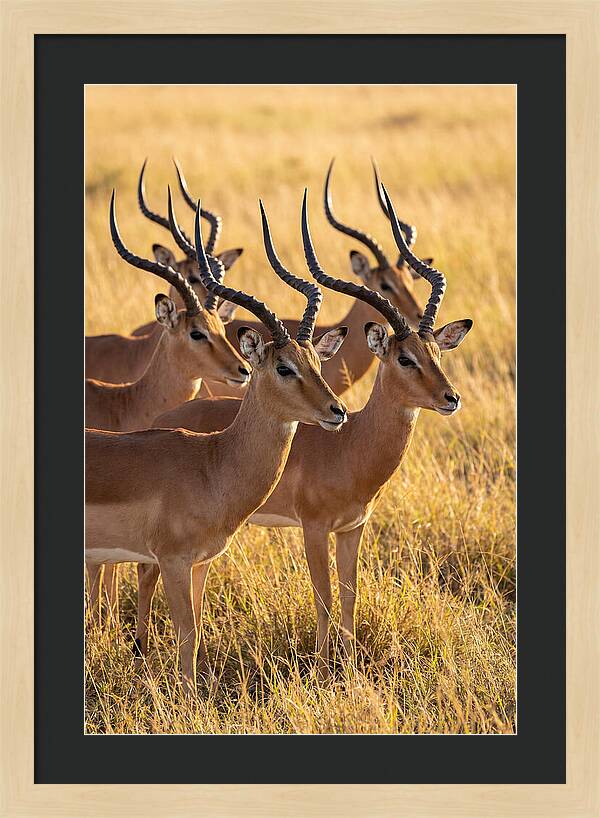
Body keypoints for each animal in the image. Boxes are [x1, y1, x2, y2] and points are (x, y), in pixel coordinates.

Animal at [85, 196, 349, 695]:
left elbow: (198, 627)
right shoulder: (171, 561)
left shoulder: (201, 562)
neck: (213, 464)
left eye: (316, 362)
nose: (337, 411)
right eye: (283, 366)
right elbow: (186, 633)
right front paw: (187, 701)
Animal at [143, 186, 472, 677]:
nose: (450, 398)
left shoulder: (353, 528)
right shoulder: (314, 528)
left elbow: (351, 596)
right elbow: (324, 597)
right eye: (404, 357)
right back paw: (139, 647)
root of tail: (160, 421)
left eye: (436, 353)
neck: (352, 446)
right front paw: (320, 667)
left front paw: (350, 665)